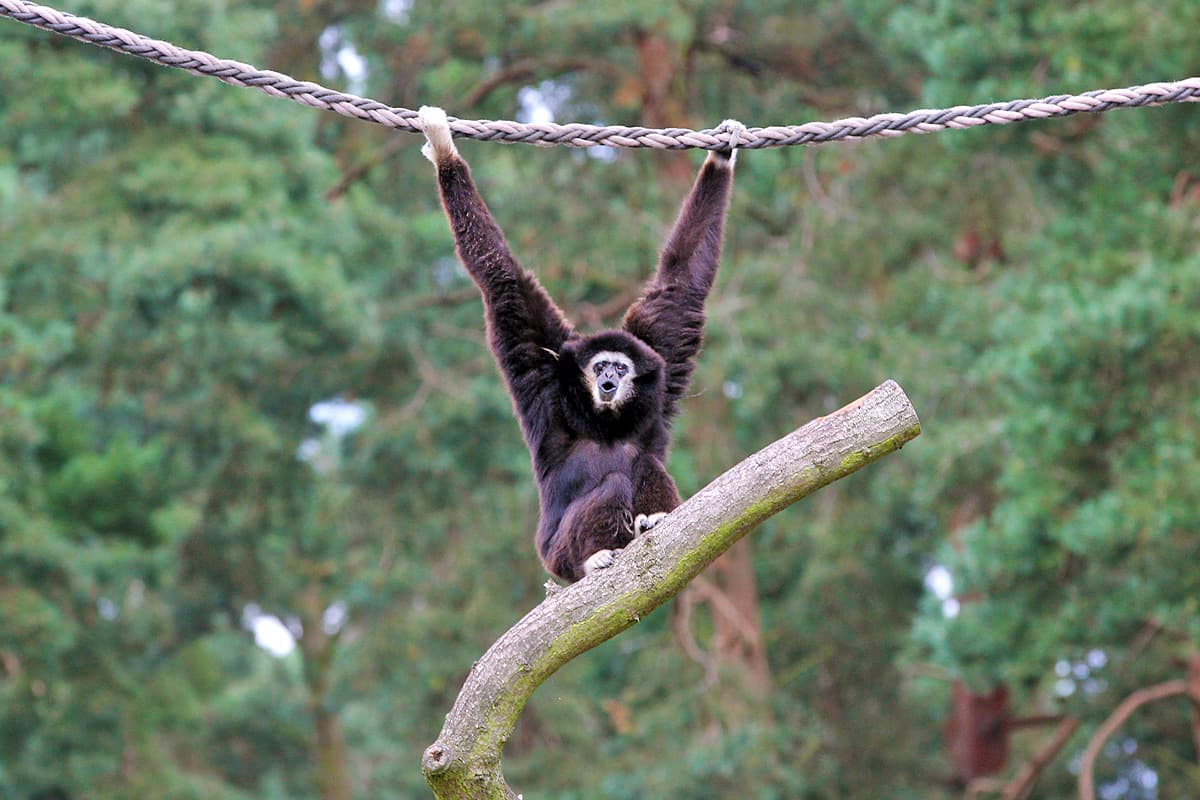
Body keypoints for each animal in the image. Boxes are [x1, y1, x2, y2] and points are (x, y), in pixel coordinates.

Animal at [418, 106, 739, 583]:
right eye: (599, 367)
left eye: (621, 368)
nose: (608, 381)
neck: (602, 421)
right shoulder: (543, 367)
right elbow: (502, 277)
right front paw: (443, 147)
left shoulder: (658, 357)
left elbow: (680, 287)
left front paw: (721, 155)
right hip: (557, 556)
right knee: (614, 483)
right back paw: (594, 556)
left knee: (642, 461)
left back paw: (654, 518)